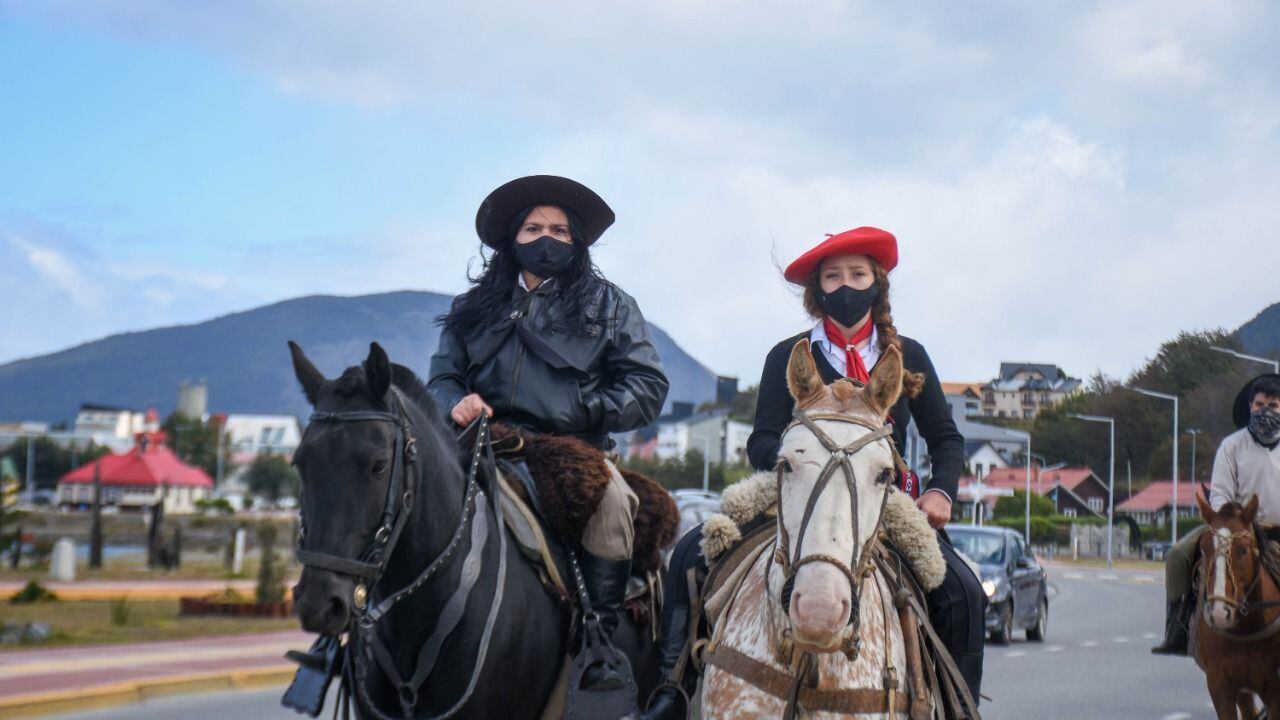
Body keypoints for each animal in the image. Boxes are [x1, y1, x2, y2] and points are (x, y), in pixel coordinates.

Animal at [1187, 484, 1280, 712]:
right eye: (1203, 549)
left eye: (1244, 550)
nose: (1220, 613)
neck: (1246, 629)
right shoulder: (1219, 685)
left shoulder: (1275, 690)